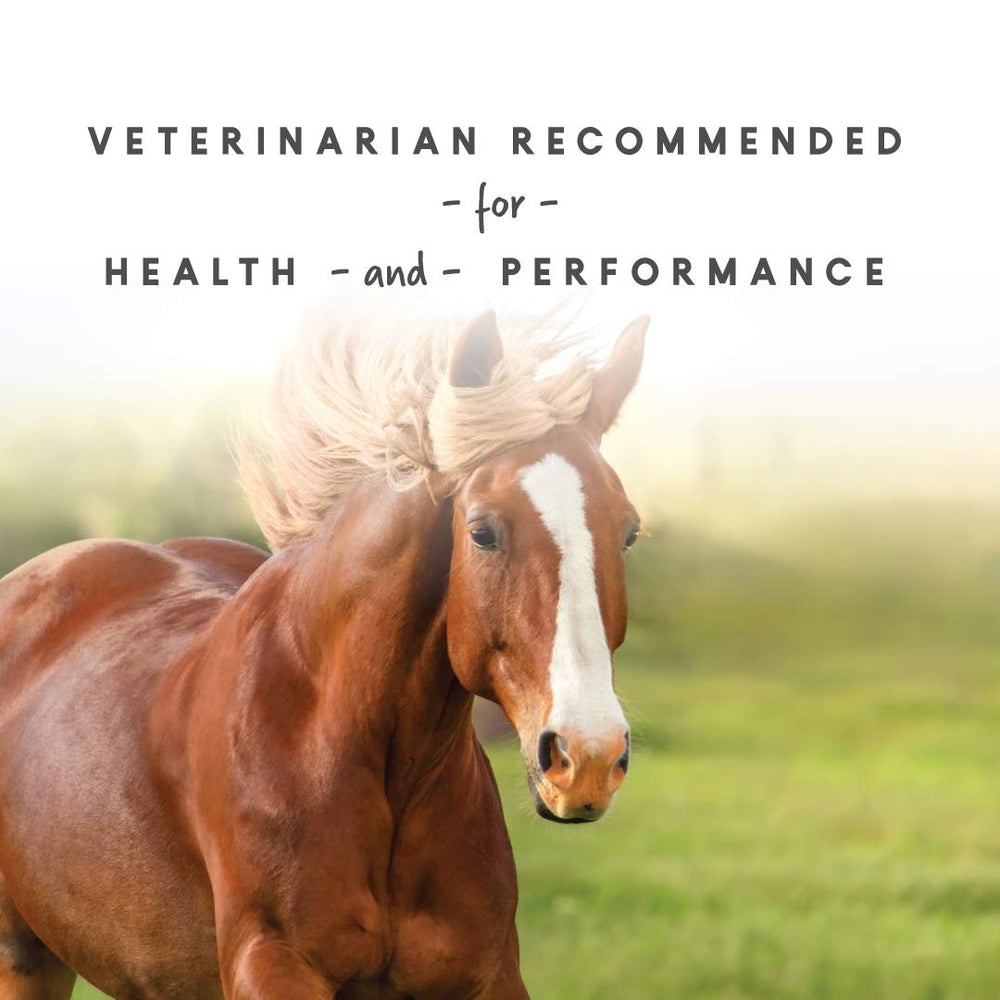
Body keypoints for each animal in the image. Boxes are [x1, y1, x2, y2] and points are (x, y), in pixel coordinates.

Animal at [0, 309, 647, 999]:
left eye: (629, 532)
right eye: (482, 531)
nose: (588, 758)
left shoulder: (490, 973)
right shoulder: (271, 963)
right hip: (24, 957)